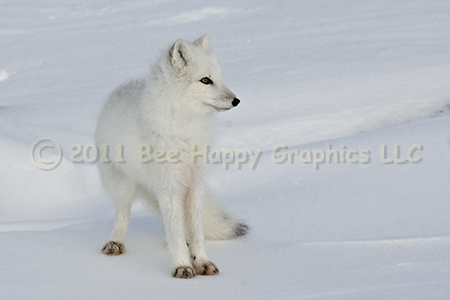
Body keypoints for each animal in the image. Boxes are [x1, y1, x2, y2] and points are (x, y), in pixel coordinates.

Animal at [95, 34, 248, 278]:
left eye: (219, 77)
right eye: (205, 80)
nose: (236, 101)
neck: (186, 130)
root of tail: (116, 93)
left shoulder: (195, 185)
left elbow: (196, 230)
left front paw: (201, 262)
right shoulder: (168, 187)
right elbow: (174, 232)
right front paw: (182, 266)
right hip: (122, 185)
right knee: (123, 213)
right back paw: (116, 242)